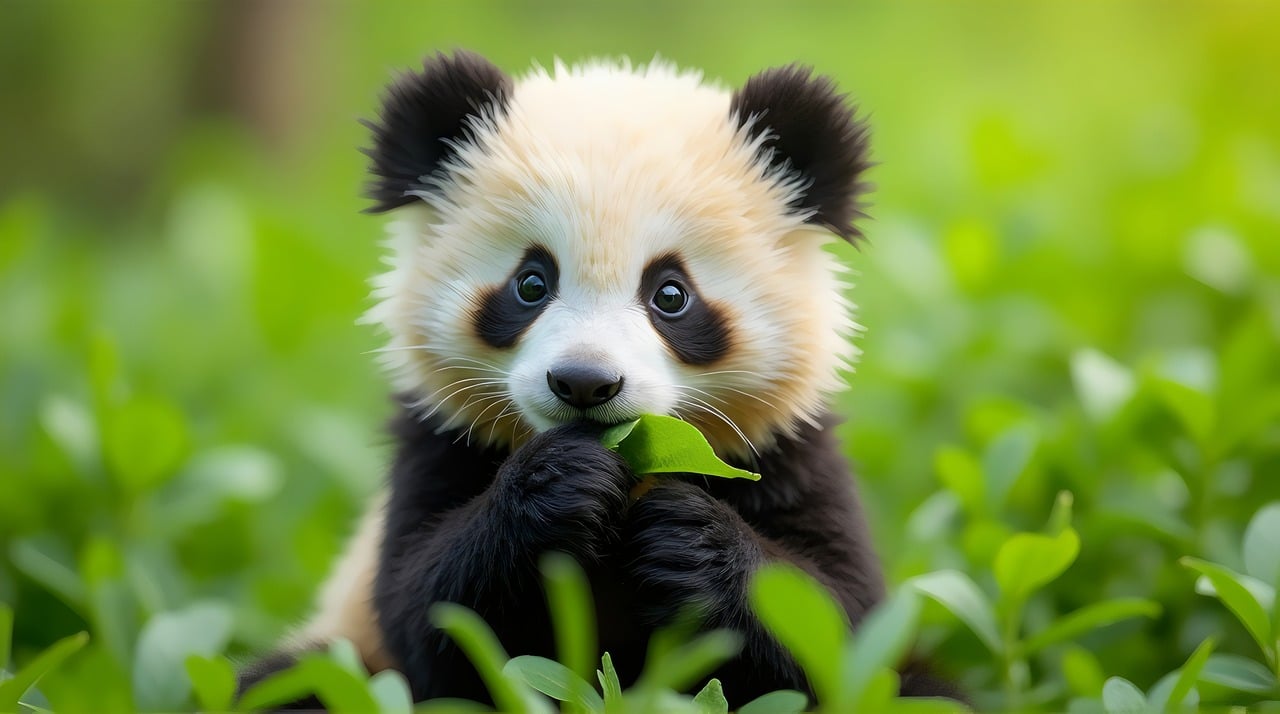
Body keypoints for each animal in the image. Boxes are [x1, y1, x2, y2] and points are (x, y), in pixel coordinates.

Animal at [238, 49, 956, 707]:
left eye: (671, 294)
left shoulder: (786, 450)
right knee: (294, 683)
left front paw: (687, 537)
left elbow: (833, 622)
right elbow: (427, 612)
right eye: (531, 283)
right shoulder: (440, 441)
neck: (633, 467)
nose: (584, 383)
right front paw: (562, 486)